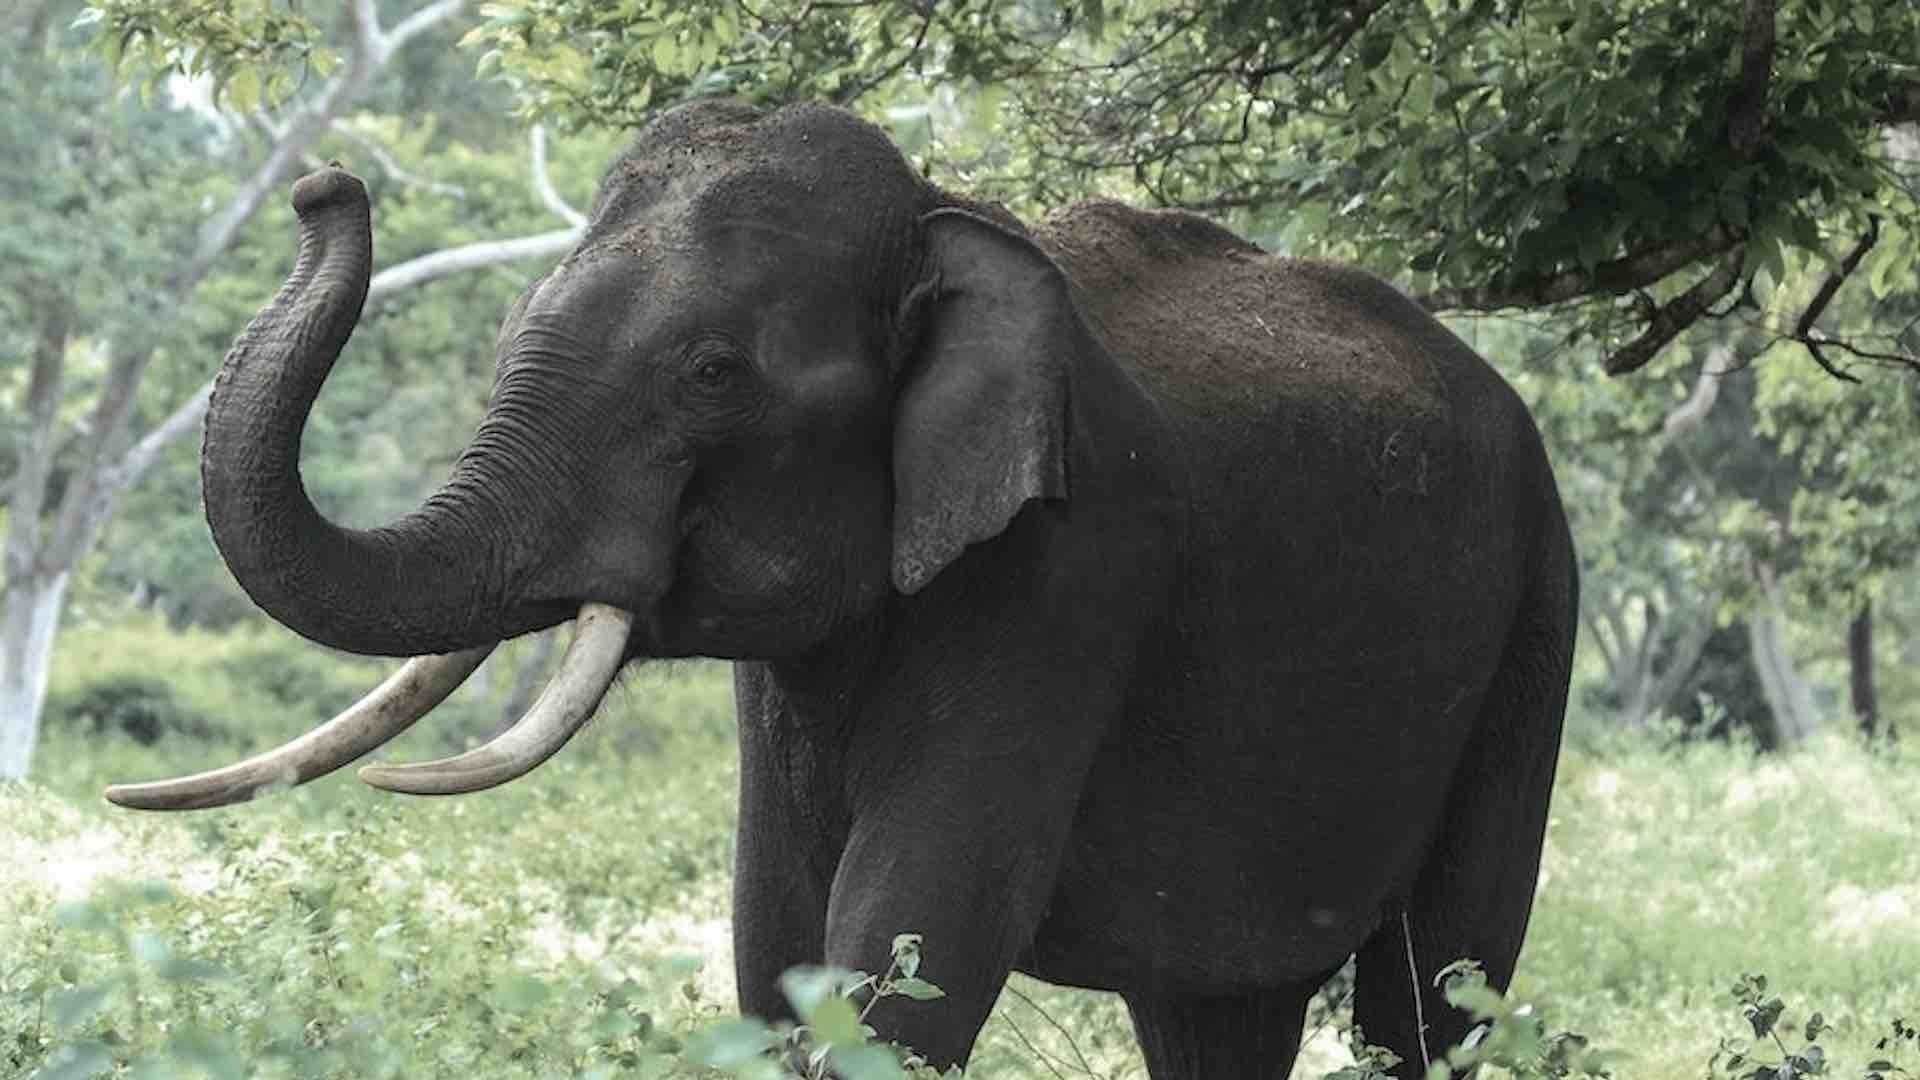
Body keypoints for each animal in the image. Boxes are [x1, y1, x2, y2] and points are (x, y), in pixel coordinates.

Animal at [108, 100, 1577, 1079]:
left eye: (711, 373)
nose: (322, 184)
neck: (943, 215)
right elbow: (777, 939)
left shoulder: (1069, 574)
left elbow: (909, 942)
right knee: (1217, 1014)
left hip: (1535, 618)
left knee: (1435, 991)